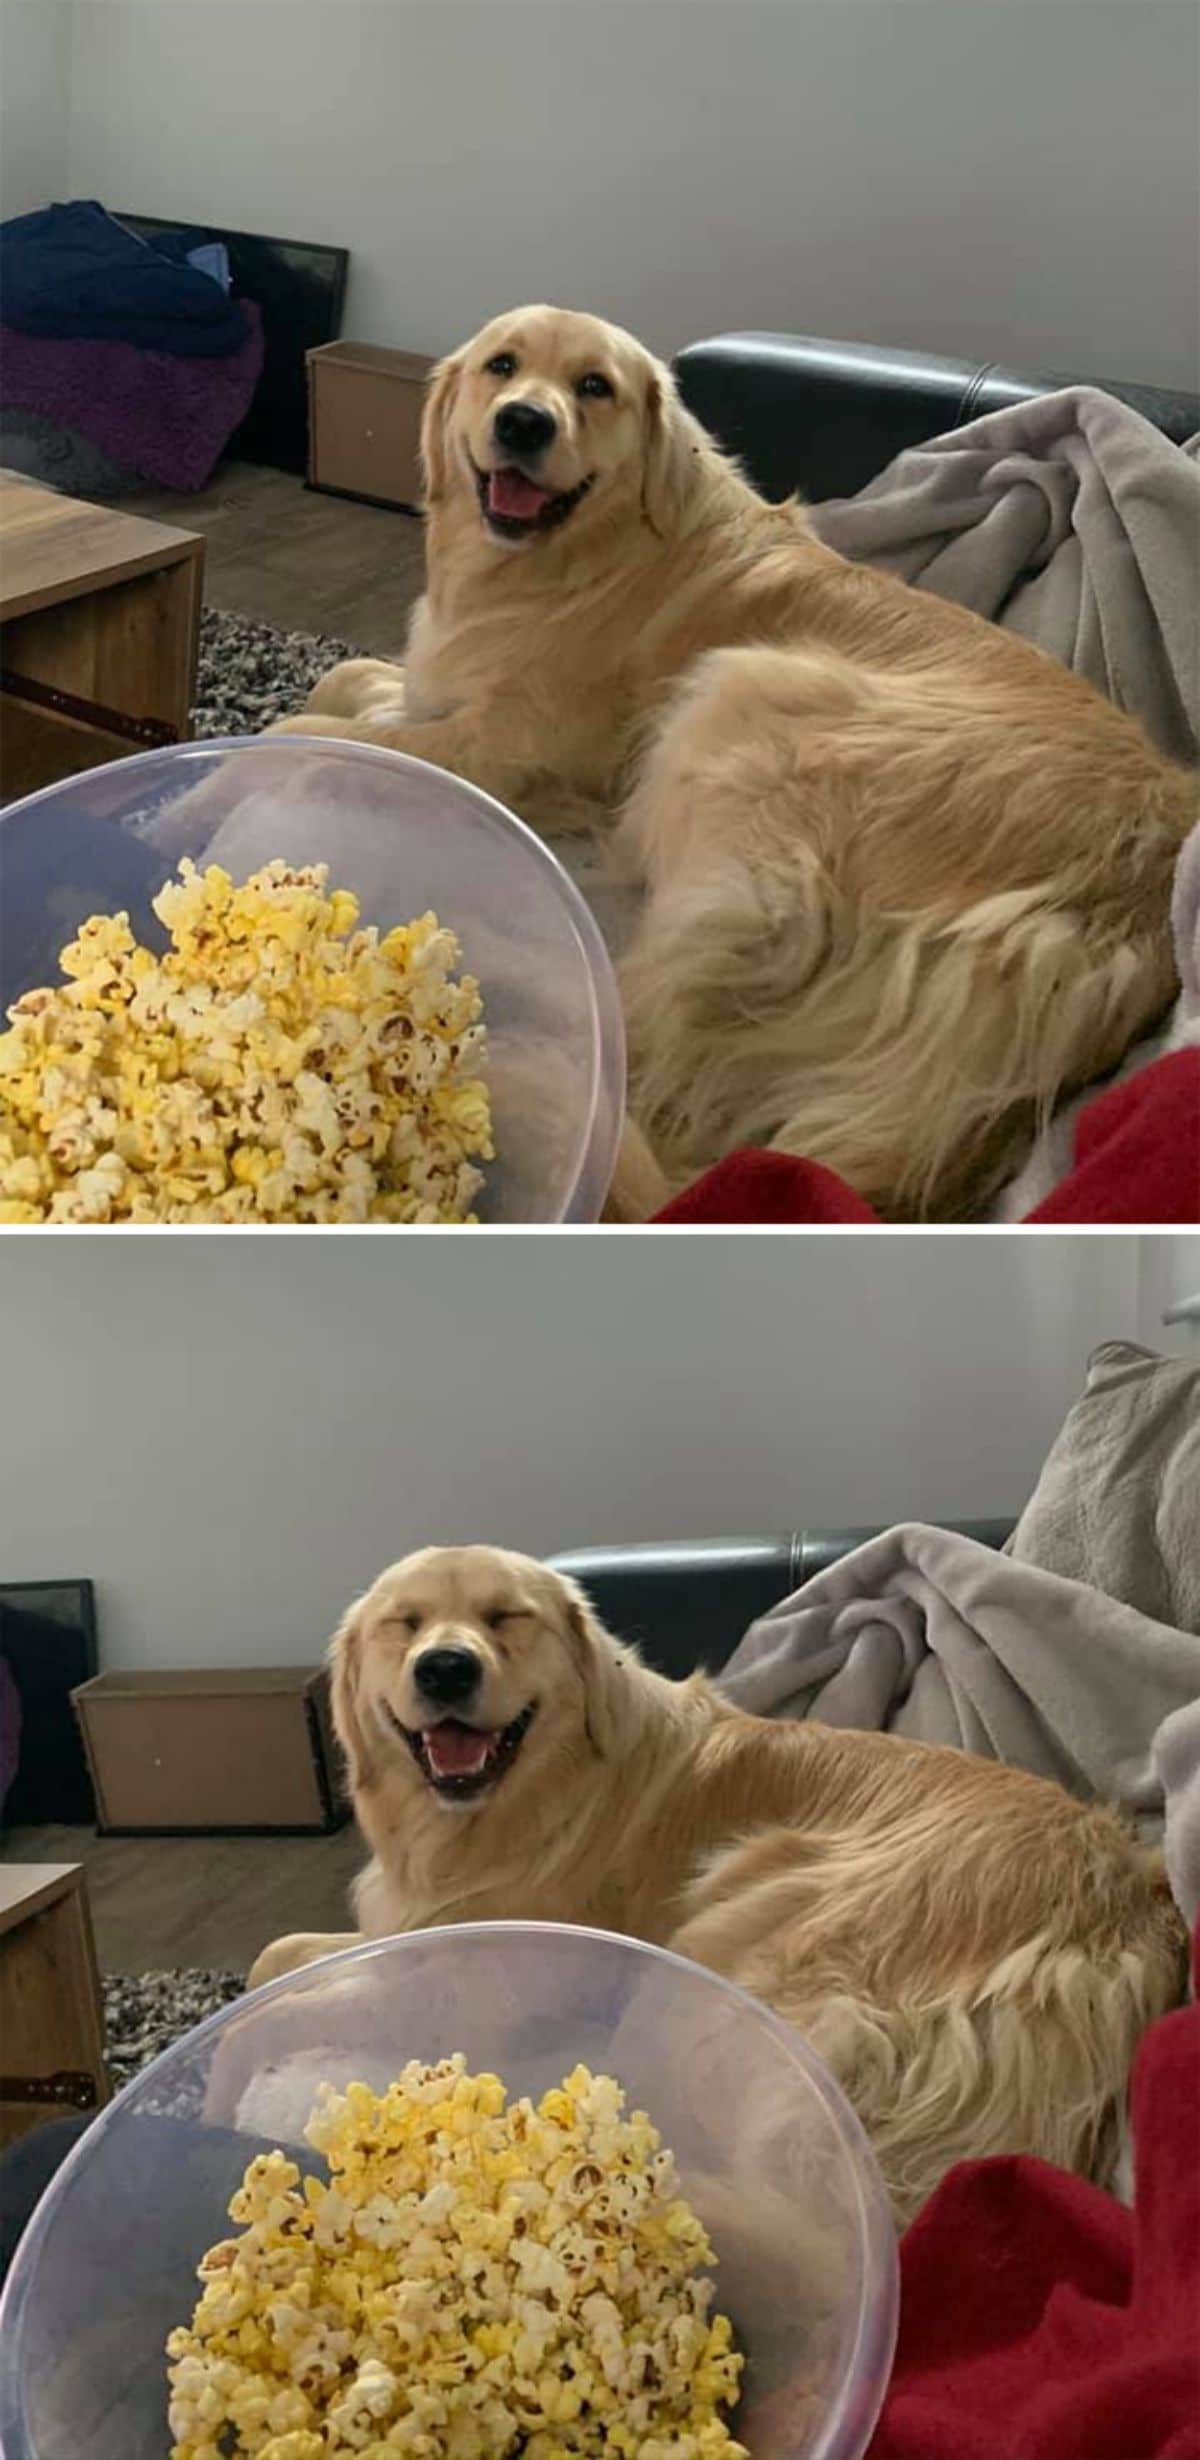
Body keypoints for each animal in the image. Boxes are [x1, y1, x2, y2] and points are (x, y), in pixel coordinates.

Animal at [248, 1554, 1185, 2233]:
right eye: (400, 1624)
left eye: (507, 1618)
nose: (444, 1669)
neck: (525, 1799)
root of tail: (1122, 1916)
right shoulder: (412, 1922)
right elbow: (277, 1953)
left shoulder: (488, 1977)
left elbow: (295, 2011)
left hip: (730, 1945)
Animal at [266, 302, 1195, 1225]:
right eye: (503, 365)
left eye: (594, 386)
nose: (524, 421)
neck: (579, 556)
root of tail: (1124, 898)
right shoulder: (440, 683)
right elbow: (349, 677)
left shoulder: (506, 748)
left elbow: (310, 729)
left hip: (744, 710)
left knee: (630, 1030)